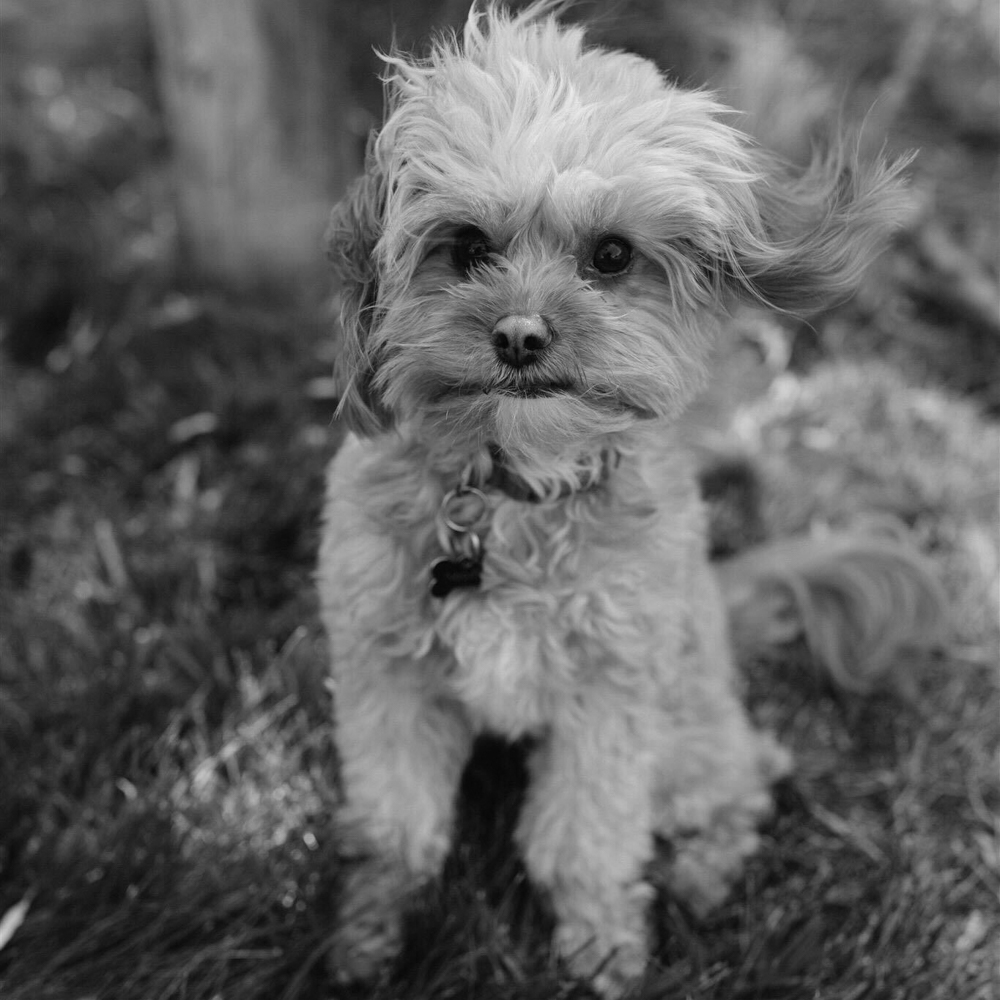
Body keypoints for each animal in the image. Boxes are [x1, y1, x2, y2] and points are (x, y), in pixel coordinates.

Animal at [317, 3, 944, 994]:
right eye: (467, 247)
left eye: (610, 256)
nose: (520, 336)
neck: (514, 492)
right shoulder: (388, 672)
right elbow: (396, 827)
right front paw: (368, 937)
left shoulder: (610, 698)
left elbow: (585, 843)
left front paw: (604, 952)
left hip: (687, 723)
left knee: (751, 776)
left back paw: (699, 875)